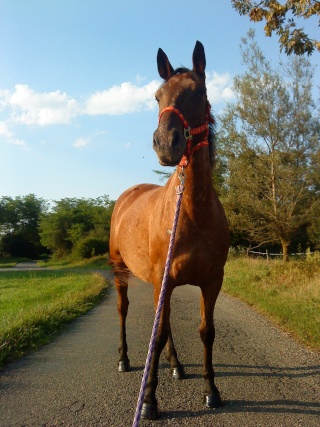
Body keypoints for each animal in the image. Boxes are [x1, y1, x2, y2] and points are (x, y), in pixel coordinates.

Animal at [110, 41, 230, 422]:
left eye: (199, 92)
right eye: (157, 96)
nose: (165, 143)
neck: (193, 212)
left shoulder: (211, 281)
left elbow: (206, 331)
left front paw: (211, 390)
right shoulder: (163, 281)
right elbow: (158, 333)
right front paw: (149, 400)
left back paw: (175, 365)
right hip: (121, 273)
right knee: (124, 311)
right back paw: (125, 359)